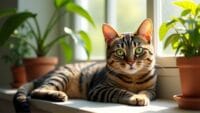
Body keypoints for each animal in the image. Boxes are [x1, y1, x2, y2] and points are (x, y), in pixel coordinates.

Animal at [13, 18, 157, 112]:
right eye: (120, 52)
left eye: (139, 50)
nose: (130, 62)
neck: (133, 78)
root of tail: (41, 76)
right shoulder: (99, 88)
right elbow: (120, 91)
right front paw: (134, 96)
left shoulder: (152, 90)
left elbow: (145, 92)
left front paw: (140, 96)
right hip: (61, 76)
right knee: (37, 91)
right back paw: (58, 95)